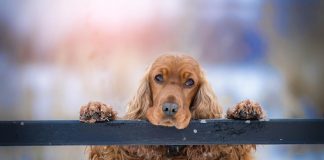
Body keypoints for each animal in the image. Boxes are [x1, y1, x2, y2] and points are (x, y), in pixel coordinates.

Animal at [79, 54, 264, 159]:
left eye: (190, 82)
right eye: (158, 77)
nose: (170, 108)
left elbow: (233, 148)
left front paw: (245, 109)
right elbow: (108, 149)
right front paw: (96, 109)